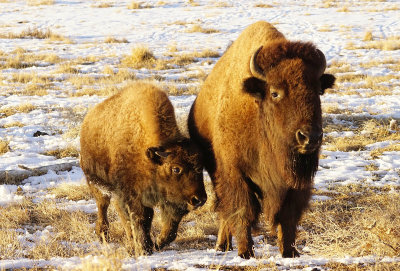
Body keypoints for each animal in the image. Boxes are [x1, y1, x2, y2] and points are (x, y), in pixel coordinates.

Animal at [80, 82, 208, 256]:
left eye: (201, 167)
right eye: (176, 169)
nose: (199, 199)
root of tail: (88, 120)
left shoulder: (171, 201)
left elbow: (170, 227)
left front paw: (157, 244)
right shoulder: (132, 196)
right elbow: (142, 219)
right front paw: (145, 249)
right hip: (96, 183)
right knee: (103, 206)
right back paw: (103, 235)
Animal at [188, 21, 334, 260]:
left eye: (318, 91)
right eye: (275, 93)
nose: (309, 137)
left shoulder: (295, 183)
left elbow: (288, 216)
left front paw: (290, 252)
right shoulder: (235, 174)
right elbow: (243, 211)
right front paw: (246, 253)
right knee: (225, 209)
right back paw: (222, 245)